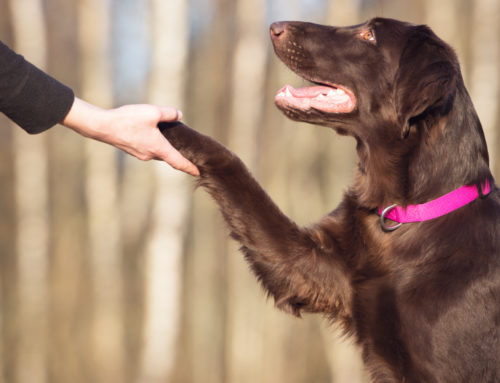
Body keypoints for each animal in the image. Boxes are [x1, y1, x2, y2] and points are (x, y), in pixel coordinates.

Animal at [161, 18, 500, 383]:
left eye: (369, 35)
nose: (275, 27)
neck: (406, 214)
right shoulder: (311, 266)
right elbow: (232, 166)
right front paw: (162, 124)